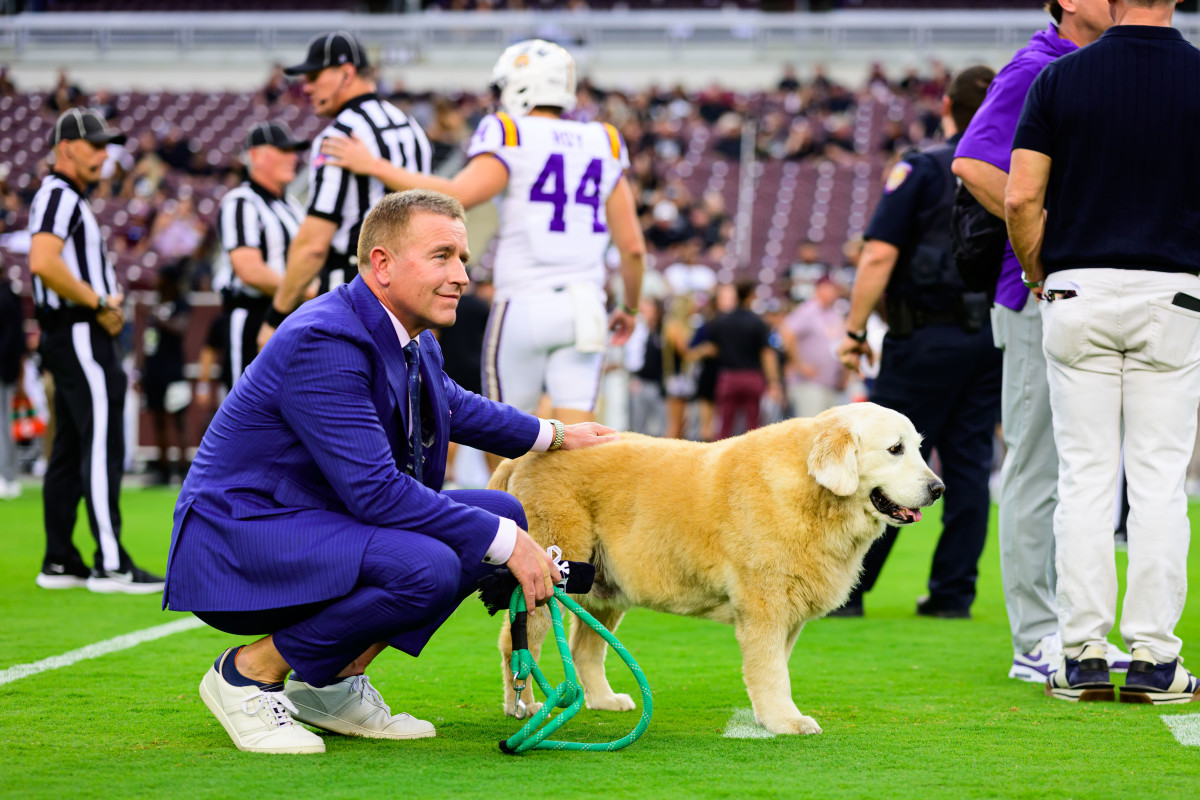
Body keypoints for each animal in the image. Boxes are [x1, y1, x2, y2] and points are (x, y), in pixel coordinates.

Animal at [489, 402, 945, 734]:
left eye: (919, 447)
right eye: (895, 449)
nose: (938, 488)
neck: (811, 493)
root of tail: (524, 458)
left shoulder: (788, 612)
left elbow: (775, 667)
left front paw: (771, 717)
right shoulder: (764, 607)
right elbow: (772, 671)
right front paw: (786, 722)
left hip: (602, 586)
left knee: (587, 648)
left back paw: (604, 700)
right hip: (548, 576)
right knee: (518, 644)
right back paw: (522, 705)